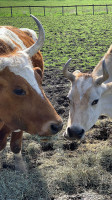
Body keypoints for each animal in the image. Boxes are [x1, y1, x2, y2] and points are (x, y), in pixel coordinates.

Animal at [0, 14, 62, 170]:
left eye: (38, 78)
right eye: (18, 90)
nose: (57, 125)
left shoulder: (18, 120)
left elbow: (15, 144)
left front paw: (20, 167)